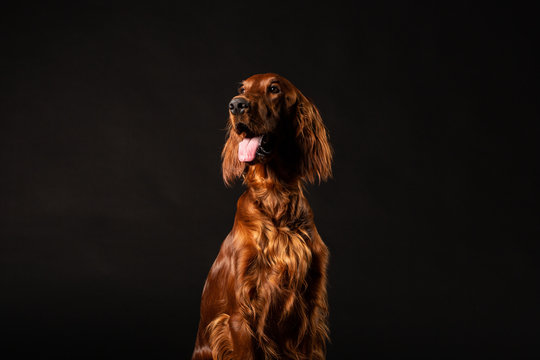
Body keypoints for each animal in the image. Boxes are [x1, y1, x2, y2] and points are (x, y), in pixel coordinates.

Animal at [192, 73, 332, 360]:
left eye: (274, 89)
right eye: (242, 89)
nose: (236, 105)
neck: (275, 198)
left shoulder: (310, 312)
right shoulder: (239, 316)